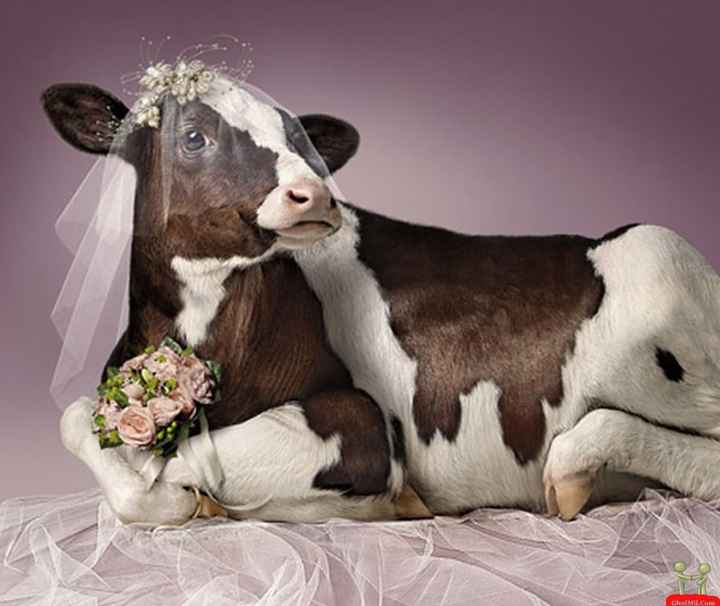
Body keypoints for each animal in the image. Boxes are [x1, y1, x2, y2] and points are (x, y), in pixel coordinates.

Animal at [45, 73, 720, 526]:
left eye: (299, 138)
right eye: (193, 137)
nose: (315, 193)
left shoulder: (364, 429)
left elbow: (181, 463)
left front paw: (180, 499)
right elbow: (76, 418)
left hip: (657, 262)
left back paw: (572, 468)